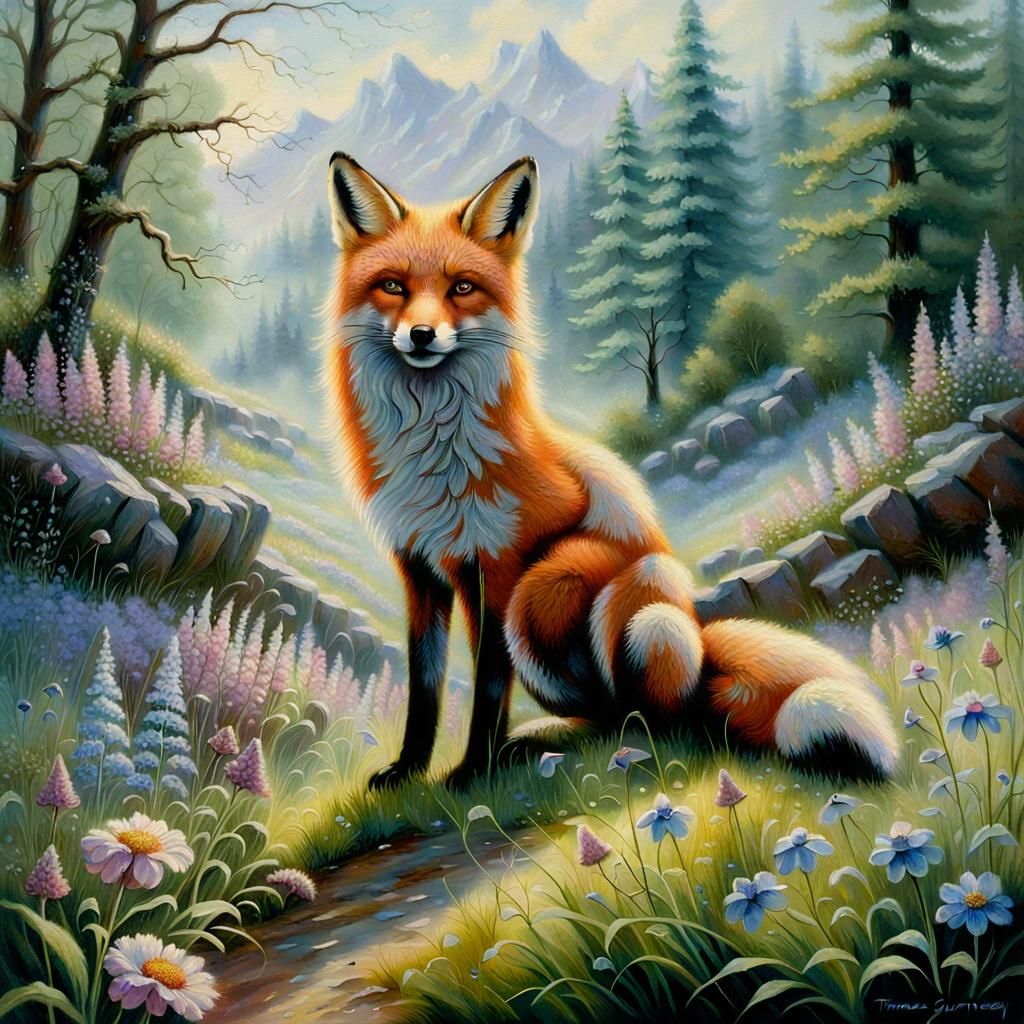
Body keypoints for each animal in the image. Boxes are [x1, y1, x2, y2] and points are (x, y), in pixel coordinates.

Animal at [323, 151, 899, 790]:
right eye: (394, 286)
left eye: (462, 288)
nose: (421, 335)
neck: (430, 445)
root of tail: (703, 645)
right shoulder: (419, 566)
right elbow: (424, 687)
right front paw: (407, 771)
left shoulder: (498, 566)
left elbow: (488, 687)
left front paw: (472, 771)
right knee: (602, 715)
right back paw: (540, 740)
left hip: (577, 589)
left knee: (654, 720)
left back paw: (598, 744)